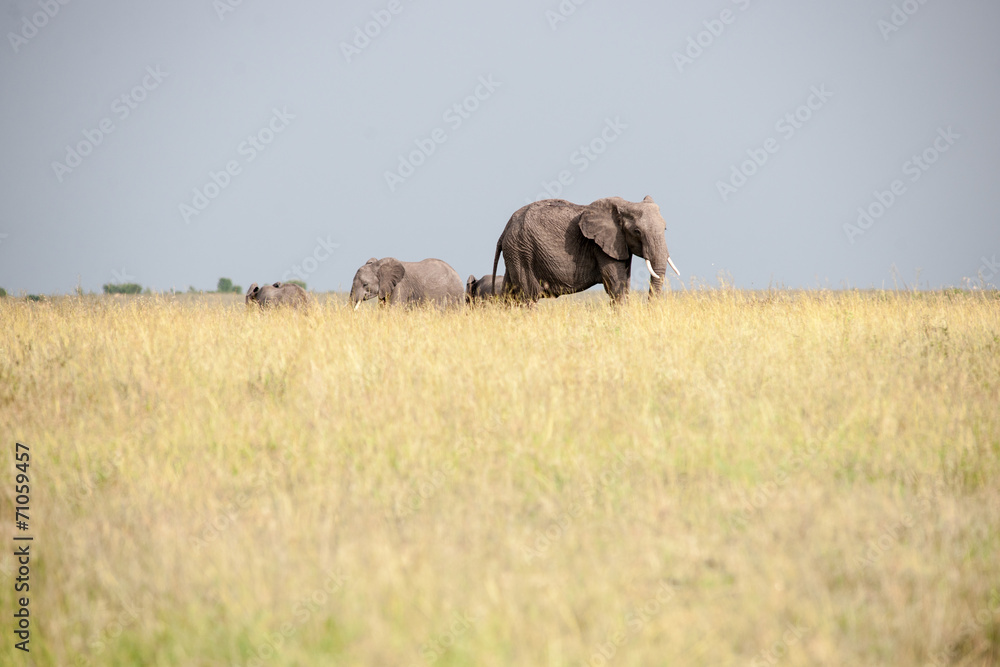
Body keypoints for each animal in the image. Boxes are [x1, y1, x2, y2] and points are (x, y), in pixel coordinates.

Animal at [492, 196, 679, 303]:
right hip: (522, 250)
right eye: (637, 231)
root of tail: (505, 229)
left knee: (510, 293)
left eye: (665, 228)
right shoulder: (600, 246)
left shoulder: (618, 245)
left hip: (515, 252)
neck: (624, 205)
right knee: (528, 295)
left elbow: (624, 283)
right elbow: (616, 285)